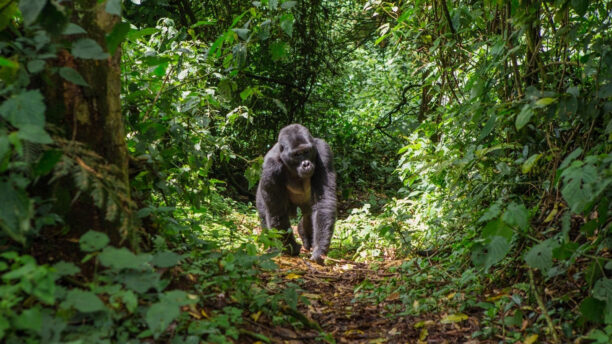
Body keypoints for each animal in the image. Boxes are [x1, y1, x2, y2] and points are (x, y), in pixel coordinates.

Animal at [256, 123, 338, 264]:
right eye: (297, 154)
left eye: (306, 152)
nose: (306, 164)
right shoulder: (270, 167)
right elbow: (277, 212)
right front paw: (291, 248)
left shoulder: (323, 151)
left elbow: (324, 201)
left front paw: (319, 249)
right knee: (265, 214)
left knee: (308, 214)